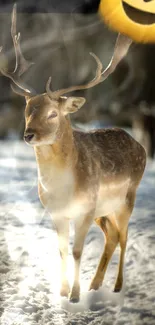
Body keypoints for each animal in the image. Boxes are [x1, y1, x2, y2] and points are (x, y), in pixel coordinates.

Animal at [0, 4, 146, 302]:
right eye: (27, 110)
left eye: (53, 114)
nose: (28, 135)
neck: (62, 188)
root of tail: (141, 146)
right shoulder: (57, 212)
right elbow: (63, 249)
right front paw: (63, 290)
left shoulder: (85, 208)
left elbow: (78, 251)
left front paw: (75, 296)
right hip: (104, 210)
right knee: (112, 236)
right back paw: (96, 284)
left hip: (127, 198)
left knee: (124, 236)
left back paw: (116, 286)